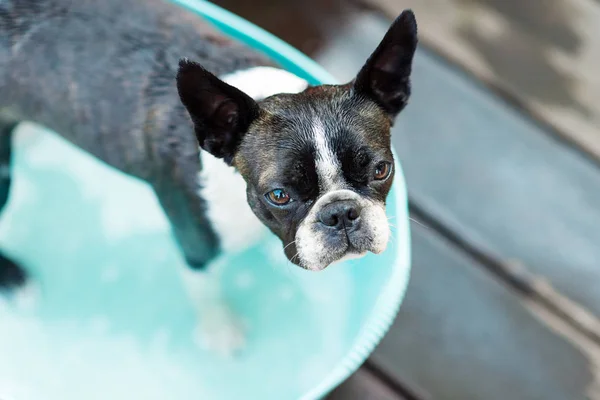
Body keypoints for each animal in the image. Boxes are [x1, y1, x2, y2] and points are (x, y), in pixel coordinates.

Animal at [0, 0, 418, 352]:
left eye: (381, 170)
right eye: (279, 195)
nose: (341, 213)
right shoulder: (196, 242)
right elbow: (206, 290)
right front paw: (221, 331)